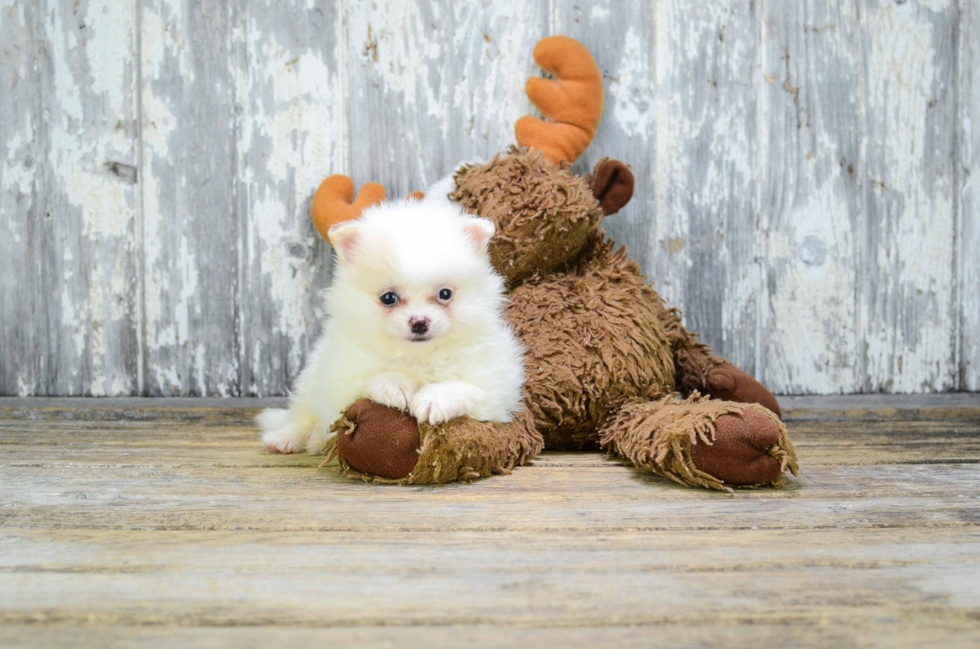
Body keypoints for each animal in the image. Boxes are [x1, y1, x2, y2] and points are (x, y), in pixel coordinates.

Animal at [256, 200, 524, 454]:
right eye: (388, 298)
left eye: (445, 294)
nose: (419, 322)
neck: (418, 357)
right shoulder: (337, 380)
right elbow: (364, 381)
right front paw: (394, 385)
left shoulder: (497, 387)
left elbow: (466, 387)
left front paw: (434, 398)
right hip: (310, 380)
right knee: (301, 415)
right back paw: (286, 439)